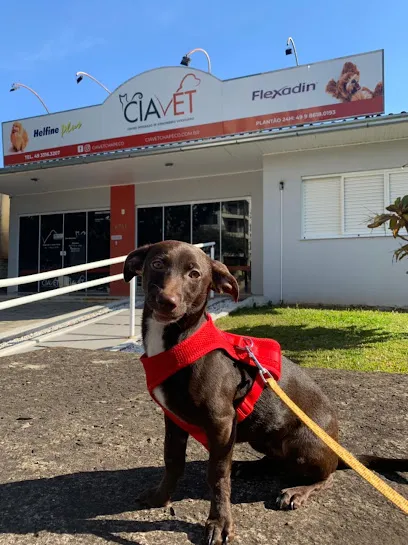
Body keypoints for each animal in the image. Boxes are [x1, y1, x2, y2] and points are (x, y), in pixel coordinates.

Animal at [123, 241, 408, 544]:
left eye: (195, 274)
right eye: (157, 264)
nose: (167, 301)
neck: (179, 343)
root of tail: (337, 446)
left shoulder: (221, 423)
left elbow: (218, 475)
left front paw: (219, 521)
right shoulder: (174, 419)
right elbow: (173, 461)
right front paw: (161, 497)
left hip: (302, 445)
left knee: (326, 475)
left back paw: (297, 491)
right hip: (262, 438)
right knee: (276, 461)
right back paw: (250, 466)